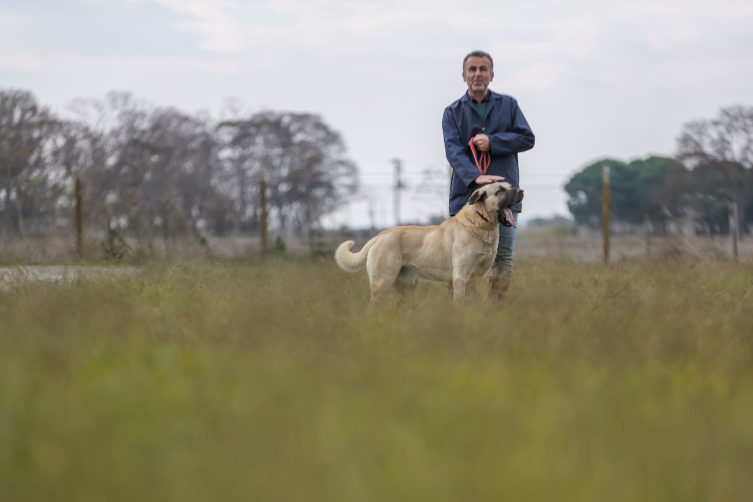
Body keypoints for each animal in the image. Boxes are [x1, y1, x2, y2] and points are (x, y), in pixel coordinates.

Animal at [334, 183, 524, 304]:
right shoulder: (460, 277)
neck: (482, 224)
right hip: (383, 284)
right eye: (500, 190)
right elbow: (460, 304)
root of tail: (380, 235)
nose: (521, 190)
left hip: (407, 288)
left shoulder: (475, 279)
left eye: (511, 185)